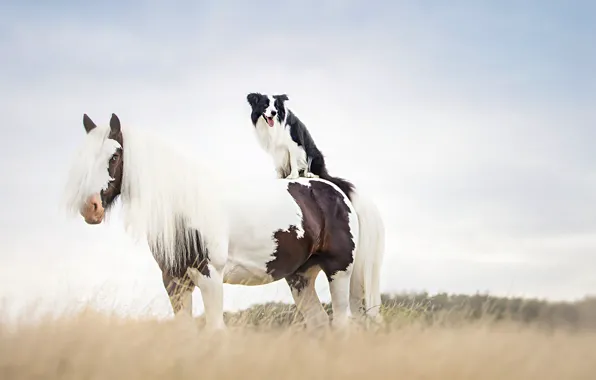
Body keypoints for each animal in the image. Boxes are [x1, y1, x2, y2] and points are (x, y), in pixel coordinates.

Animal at [61, 113, 386, 330]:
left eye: (114, 157)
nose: (90, 207)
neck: (185, 205)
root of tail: (331, 187)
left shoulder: (210, 277)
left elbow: (215, 331)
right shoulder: (174, 281)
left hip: (338, 272)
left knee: (341, 326)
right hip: (301, 278)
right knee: (319, 325)